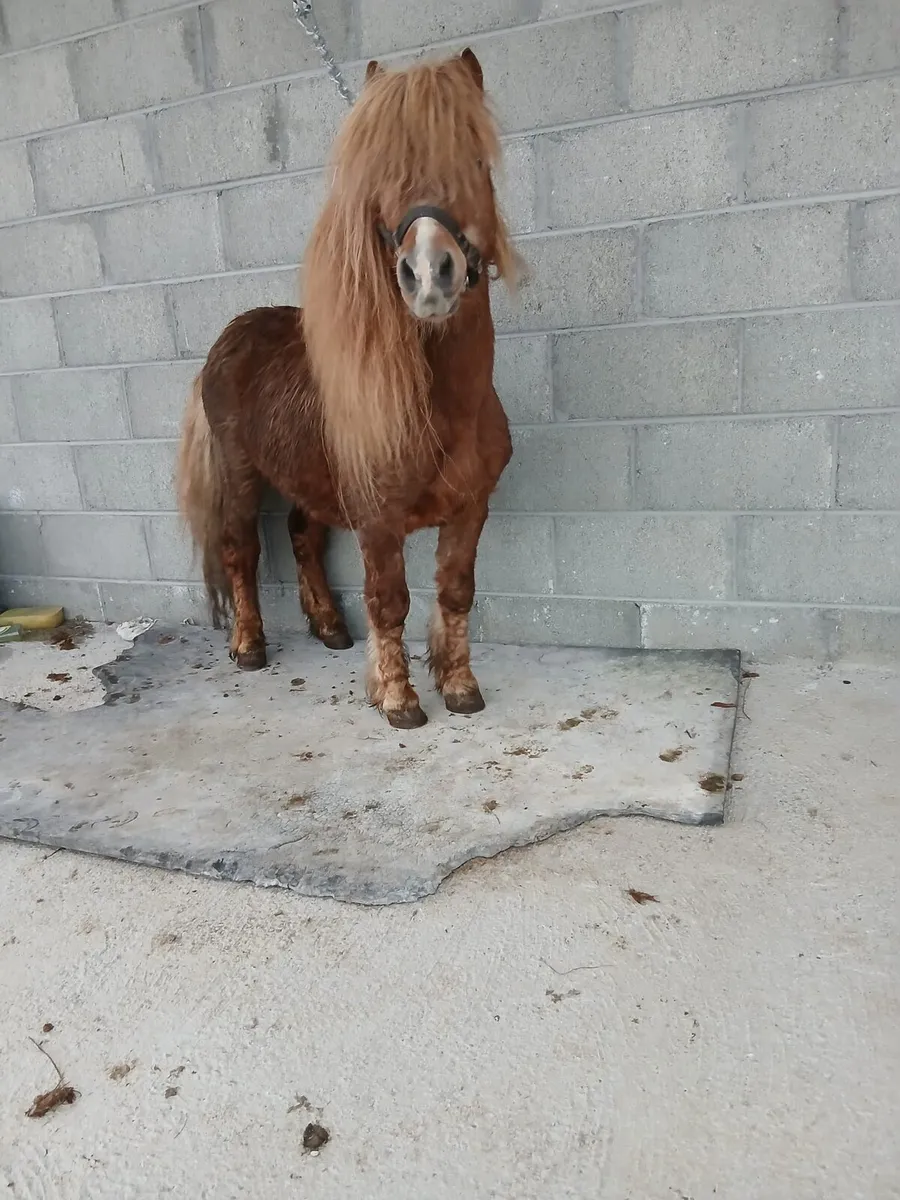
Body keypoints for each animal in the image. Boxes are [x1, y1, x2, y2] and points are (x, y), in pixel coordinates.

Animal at [176, 48, 519, 730]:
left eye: (474, 159)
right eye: (382, 179)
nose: (429, 273)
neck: (443, 409)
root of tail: (229, 338)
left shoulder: (472, 509)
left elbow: (455, 592)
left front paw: (460, 687)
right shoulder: (378, 520)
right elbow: (389, 601)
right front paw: (398, 699)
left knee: (302, 536)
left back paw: (331, 628)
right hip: (240, 476)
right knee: (240, 551)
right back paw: (249, 646)